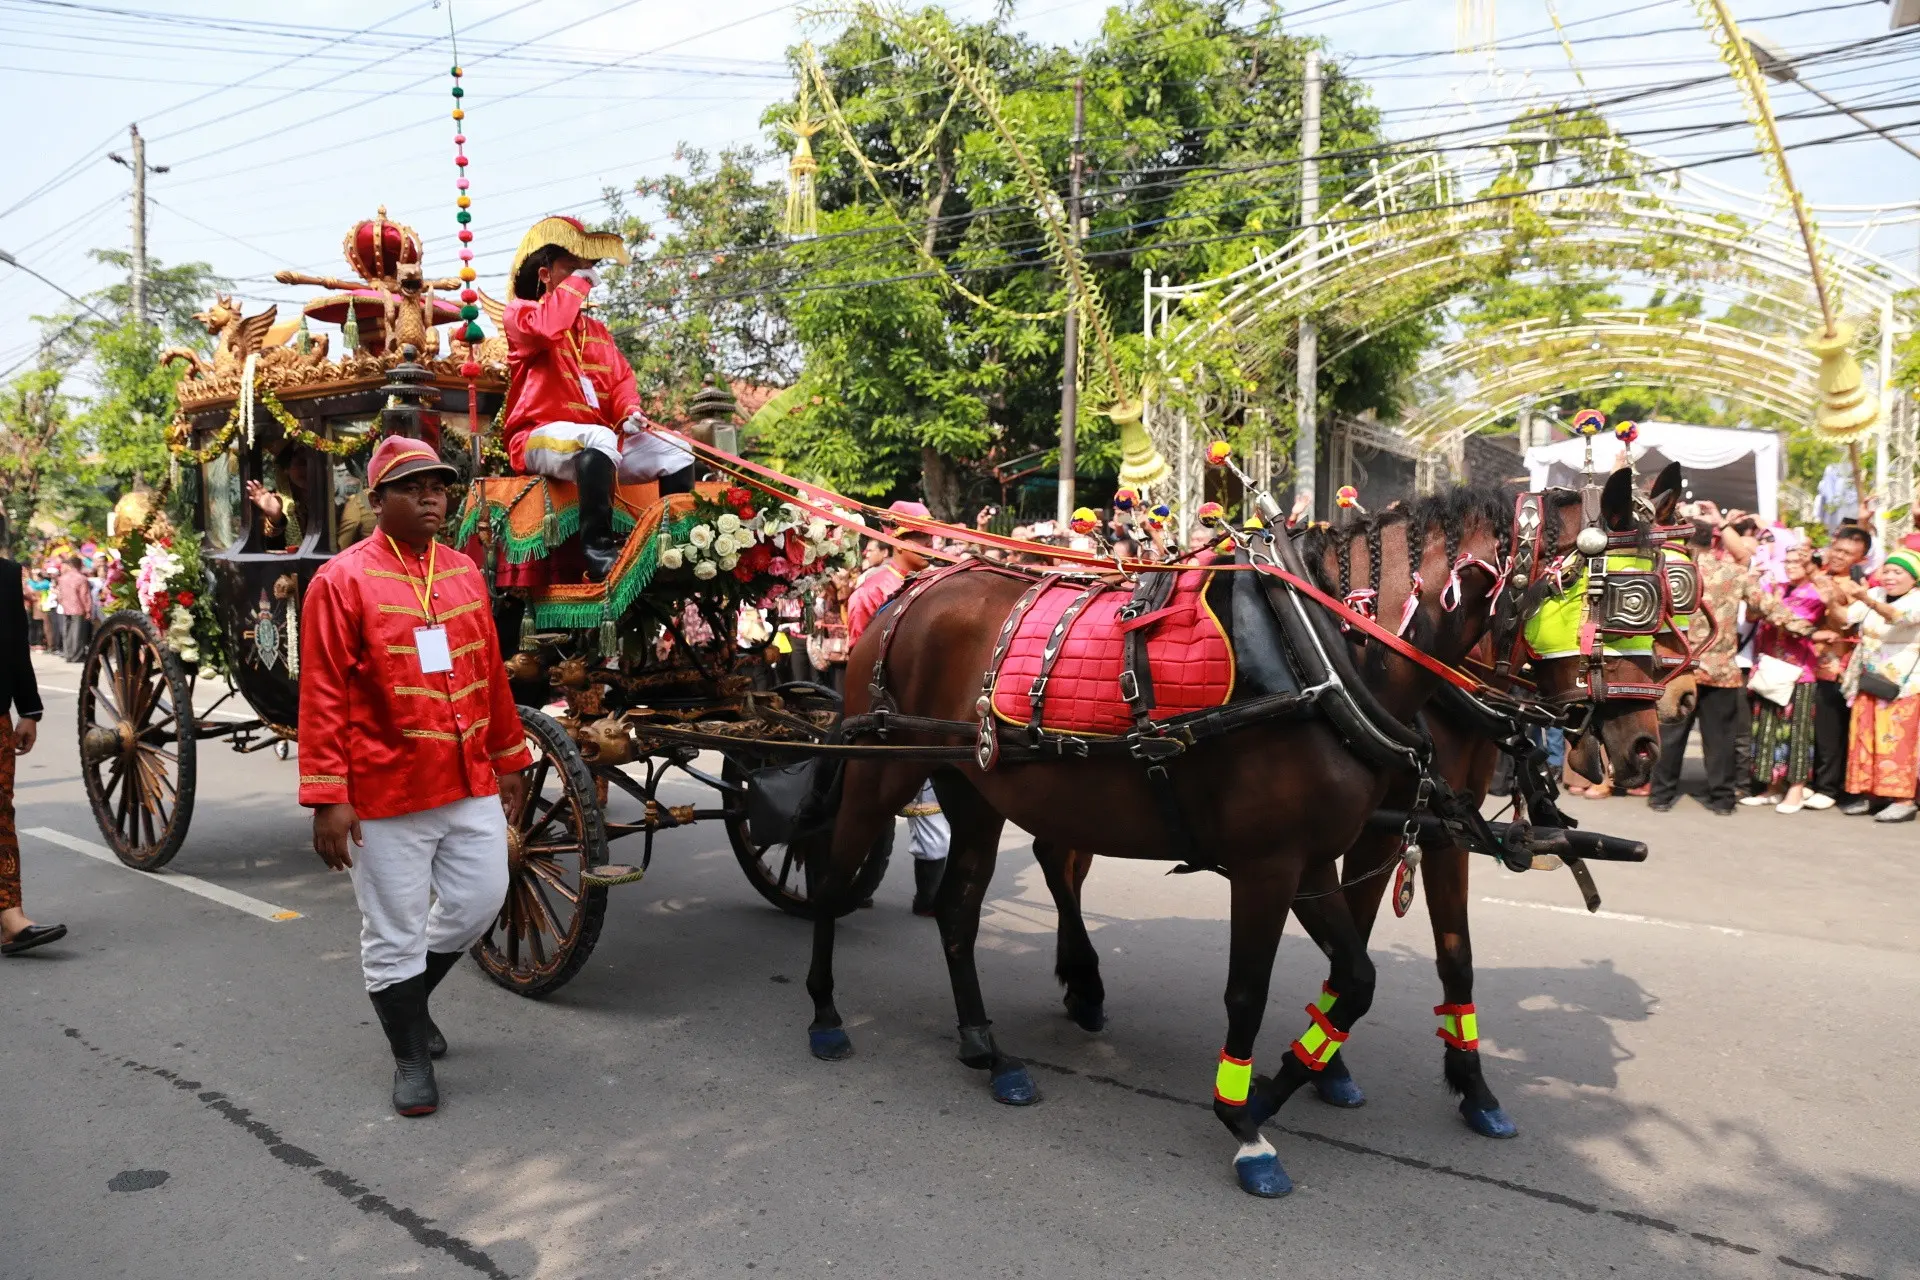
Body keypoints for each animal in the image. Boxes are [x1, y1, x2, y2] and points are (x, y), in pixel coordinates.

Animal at [802, 475, 1643, 1197]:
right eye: (1618, 595)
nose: (1623, 738)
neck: (1326, 652)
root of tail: (913, 589)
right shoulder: (1267, 864)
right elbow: (1248, 989)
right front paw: (1243, 1123)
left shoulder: (1315, 859)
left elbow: (1360, 979)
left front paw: (1280, 1087)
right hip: (880, 769)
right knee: (833, 879)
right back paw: (826, 1015)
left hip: (975, 788)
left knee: (960, 908)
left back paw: (987, 1048)